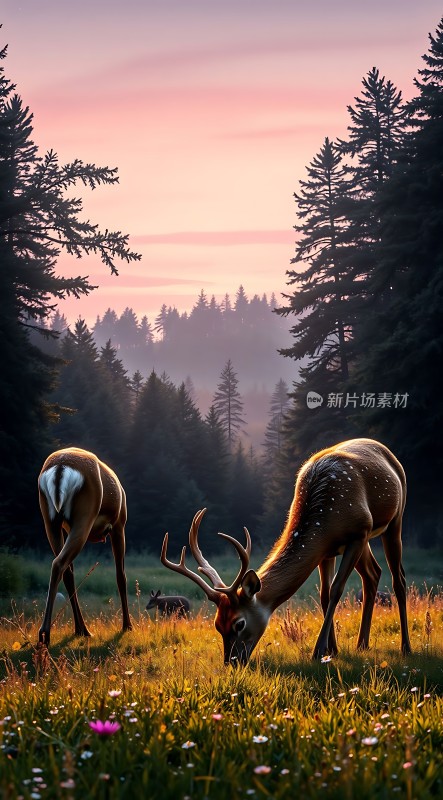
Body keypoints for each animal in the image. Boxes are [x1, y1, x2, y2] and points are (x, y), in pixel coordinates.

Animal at [37, 447, 132, 646]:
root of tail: (60, 467)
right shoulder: (119, 524)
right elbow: (121, 576)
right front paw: (127, 626)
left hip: (50, 519)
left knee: (65, 569)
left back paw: (81, 629)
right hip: (86, 513)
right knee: (60, 563)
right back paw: (45, 634)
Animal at [161, 438, 412, 665]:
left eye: (239, 623)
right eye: (217, 624)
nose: (231, 662)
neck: (328, 520)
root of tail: (386, 451)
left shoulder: (358, 533)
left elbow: (337, 589)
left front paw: (318, 651)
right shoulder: (327, 551)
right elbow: (324, 594)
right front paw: (333, 649)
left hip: (393, 521)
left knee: (398, 578)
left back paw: (405, 647)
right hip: (367, 542)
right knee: (373, 574)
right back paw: (362, 644)